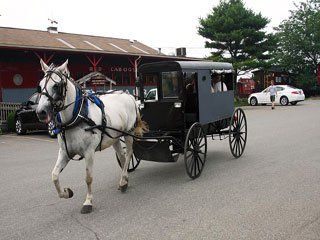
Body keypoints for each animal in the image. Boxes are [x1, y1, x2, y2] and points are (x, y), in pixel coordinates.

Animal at [35, 60, 148, 214]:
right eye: (40, 86)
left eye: (56, 86)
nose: (40, 112)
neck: (77, 115)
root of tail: (129, 96)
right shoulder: (64, 152)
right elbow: (54, 176)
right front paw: (66, 192)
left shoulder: (89, 152)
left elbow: (88, 178)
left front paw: (88, 202)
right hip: (115, 138)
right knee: (123, 157)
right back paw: (124, 181)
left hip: (128, 133)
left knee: (129, 154)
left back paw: (124, 179)